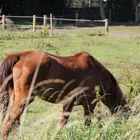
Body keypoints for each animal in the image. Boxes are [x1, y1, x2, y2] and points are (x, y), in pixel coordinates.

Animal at [0, 50, 129, 139]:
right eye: (125, 117)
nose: (123, 131)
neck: (96, 71)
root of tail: (19, 56)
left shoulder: (69, 103)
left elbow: (62, 124)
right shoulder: (88, 104)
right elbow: (84, 123)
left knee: (11, 122)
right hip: (24, 100)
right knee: (9, 123)